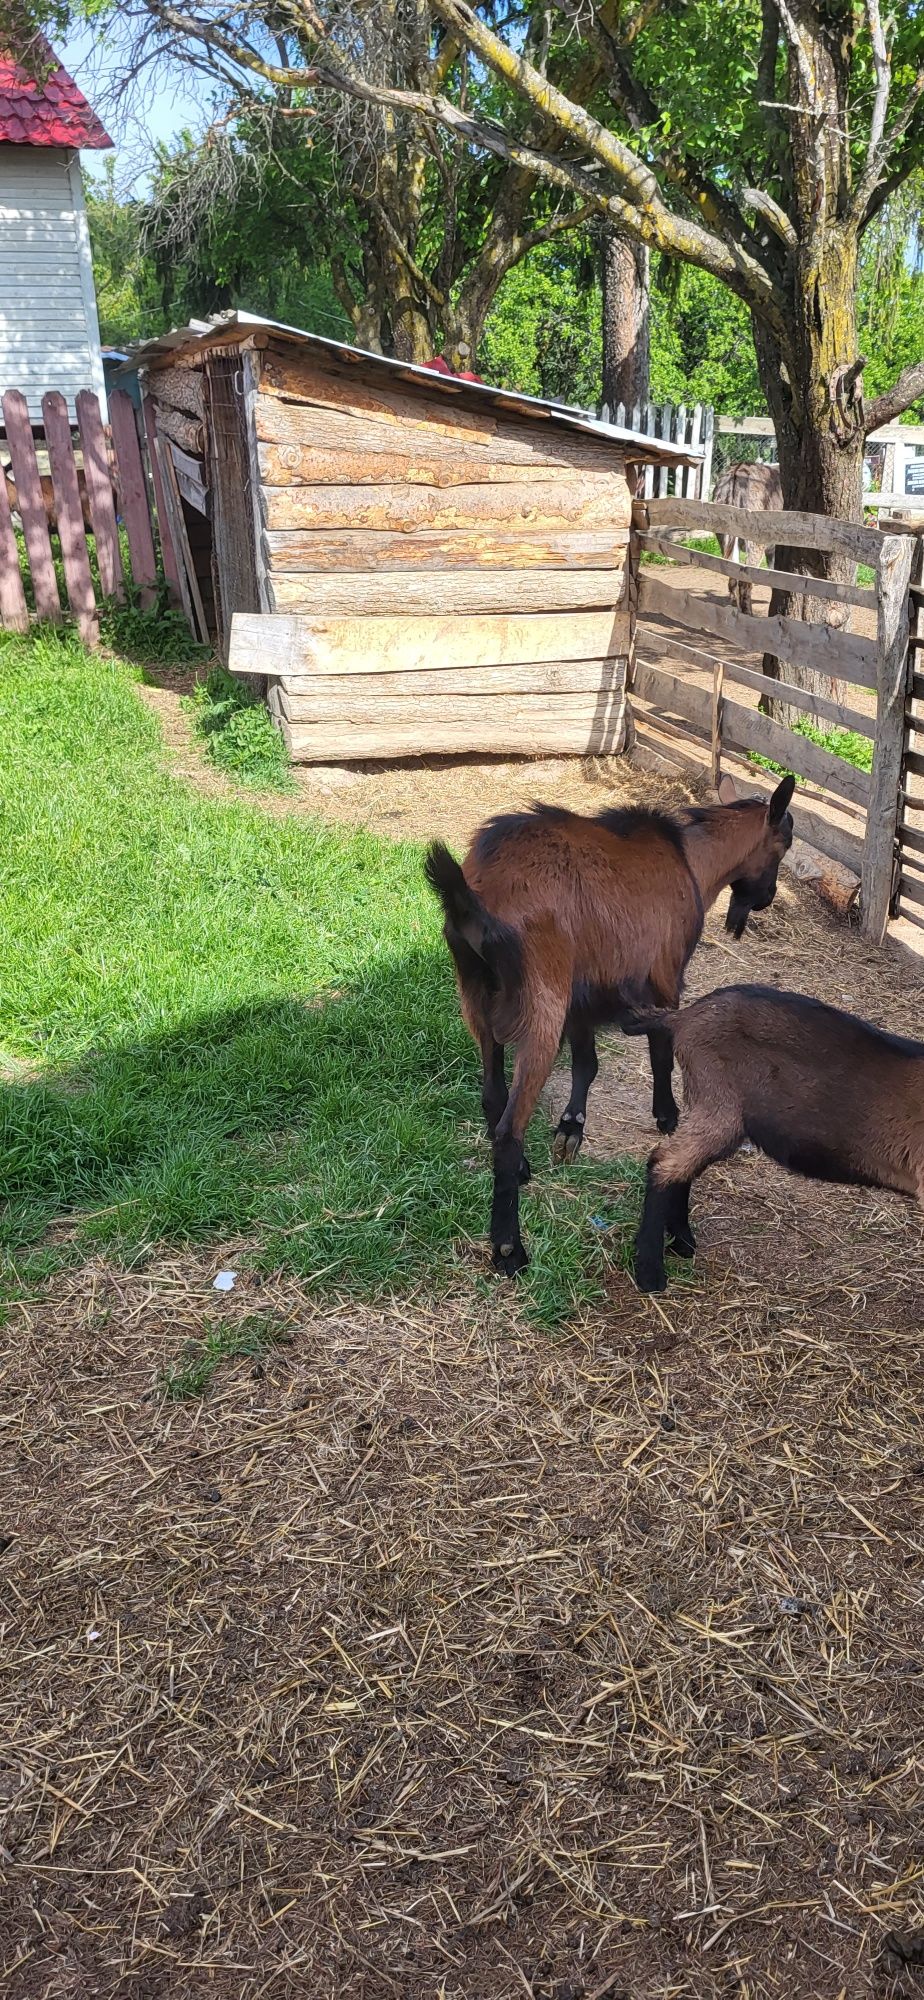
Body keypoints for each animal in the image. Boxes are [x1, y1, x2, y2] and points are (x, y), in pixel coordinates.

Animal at [426, 772, 796, 1272]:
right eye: (784, 843)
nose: (767, 897)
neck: (690, 861)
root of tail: (478, 896)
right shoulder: (665, 980)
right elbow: (661, 1050)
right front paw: (666, 1114)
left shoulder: (584, 995)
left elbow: (587, 1064)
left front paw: (571, 1128)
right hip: (542, 1006)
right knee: (508, 1128)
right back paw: (509, 1248)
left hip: (478, 1004)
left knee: (492, 1097)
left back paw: (522, 1171)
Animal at [632, 984, 924, 1296]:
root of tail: (684, 1017)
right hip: (719, 1102)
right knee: (664, 1162)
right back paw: (650, 1273)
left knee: (682, 1166)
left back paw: (683, 1242)